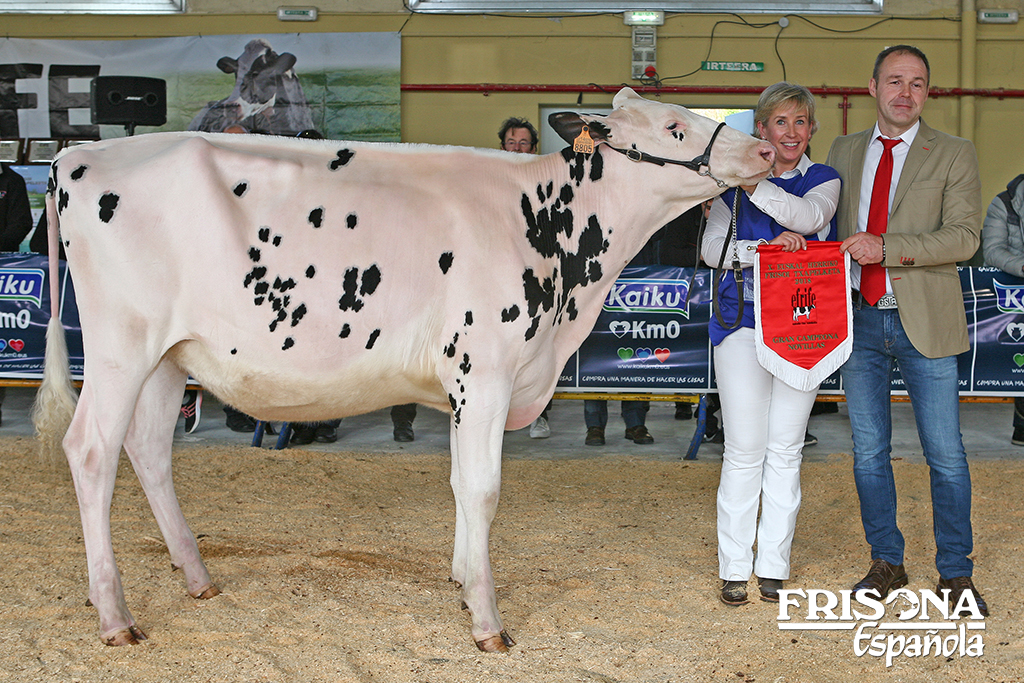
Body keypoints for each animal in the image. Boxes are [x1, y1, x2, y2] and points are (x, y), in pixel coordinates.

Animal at [34, 88, 774, 655]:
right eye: (676, 127)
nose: (765, 151)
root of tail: (77, 156)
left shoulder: (464, 387)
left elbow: (458, 486)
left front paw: (462, 581)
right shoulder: (486, 373)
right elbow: (482, 489)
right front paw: (488, 622)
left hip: (169, 355)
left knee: (148, 449)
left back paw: (196, 576)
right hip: (120, 347)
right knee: (92, 450)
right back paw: (116, 617)